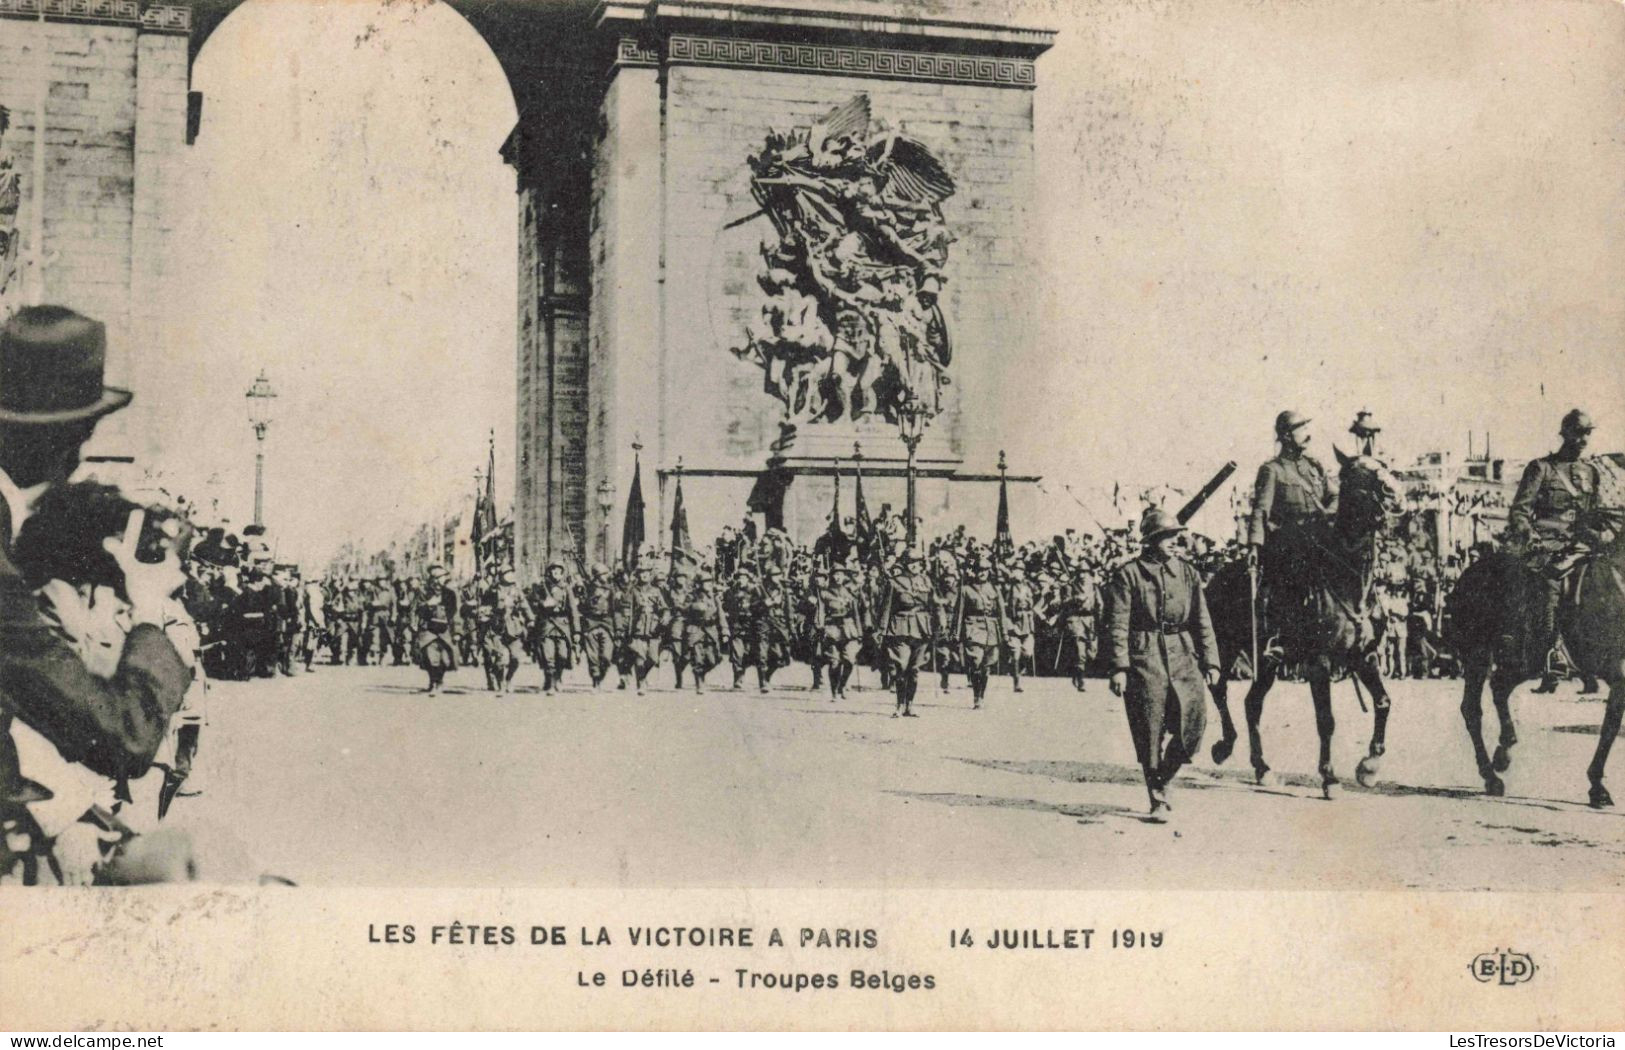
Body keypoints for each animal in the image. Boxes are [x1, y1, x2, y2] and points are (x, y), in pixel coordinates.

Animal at [1202, 448, 1404, 802]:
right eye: (1357, 474)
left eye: (1383, 466)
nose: (1395, 494)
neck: (1348, 581)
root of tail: (1215, 578)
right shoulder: (1319, 663)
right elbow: (1326, 720)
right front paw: (1330, 778)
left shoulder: (1364, 656)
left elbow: (1383, 702)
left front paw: (1368, 767)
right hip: (1225, 649)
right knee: (1220, 689)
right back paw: (1224, 746)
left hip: (1268, 661)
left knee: (1252, 703)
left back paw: (1263, 769)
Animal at [1449, 513, 1625, 809]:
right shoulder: (1619, 674)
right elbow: (1609, 729)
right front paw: (1597, 787)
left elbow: (1610, 728)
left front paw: (1597, 787)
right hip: (1479, 654)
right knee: (1472, 709)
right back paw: (1490, 776)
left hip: (1525, 660)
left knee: (1499, 687)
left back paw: (1503, 752)